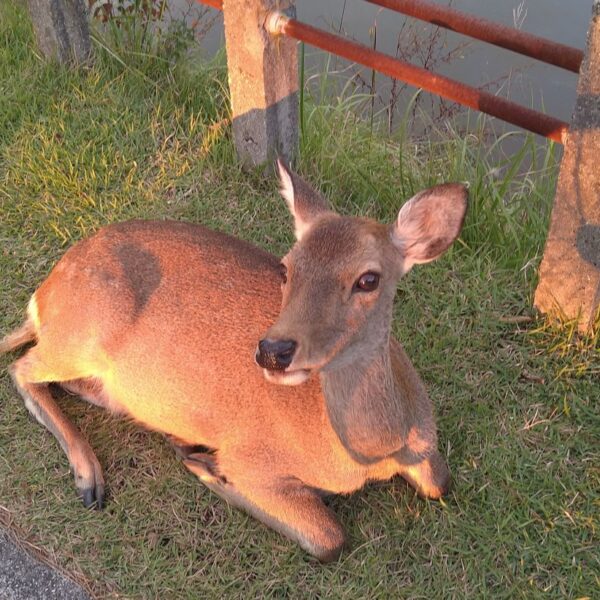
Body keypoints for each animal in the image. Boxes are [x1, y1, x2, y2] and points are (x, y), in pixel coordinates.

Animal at [1, 161, 468, 564]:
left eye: (368, 279)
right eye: (286, 268)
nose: (273, 350)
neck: (372, 454)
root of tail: (42, 296)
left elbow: (440, 483)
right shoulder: (253, 458)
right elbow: (329, 538)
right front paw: (210, 470)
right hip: (85, 333)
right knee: (21, 367)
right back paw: (92, 479)